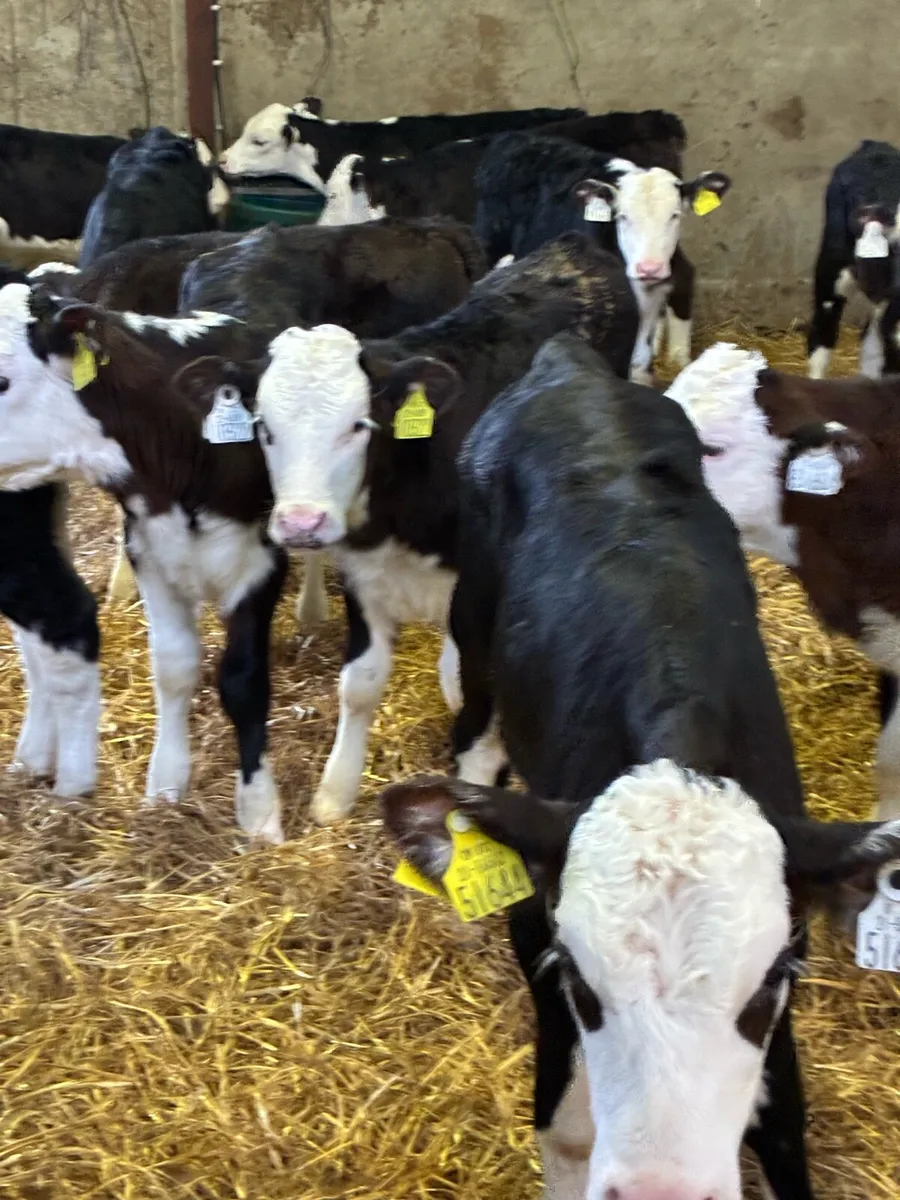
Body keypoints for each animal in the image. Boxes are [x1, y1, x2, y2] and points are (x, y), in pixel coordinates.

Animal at [184, 234, 638, 825]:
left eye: (359, 425)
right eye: (263, 426)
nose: (301, 521)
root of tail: (571, 245)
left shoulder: (486, 599)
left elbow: (481, 706)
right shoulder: (363, 574)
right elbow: (360, 684)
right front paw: (336, 791)